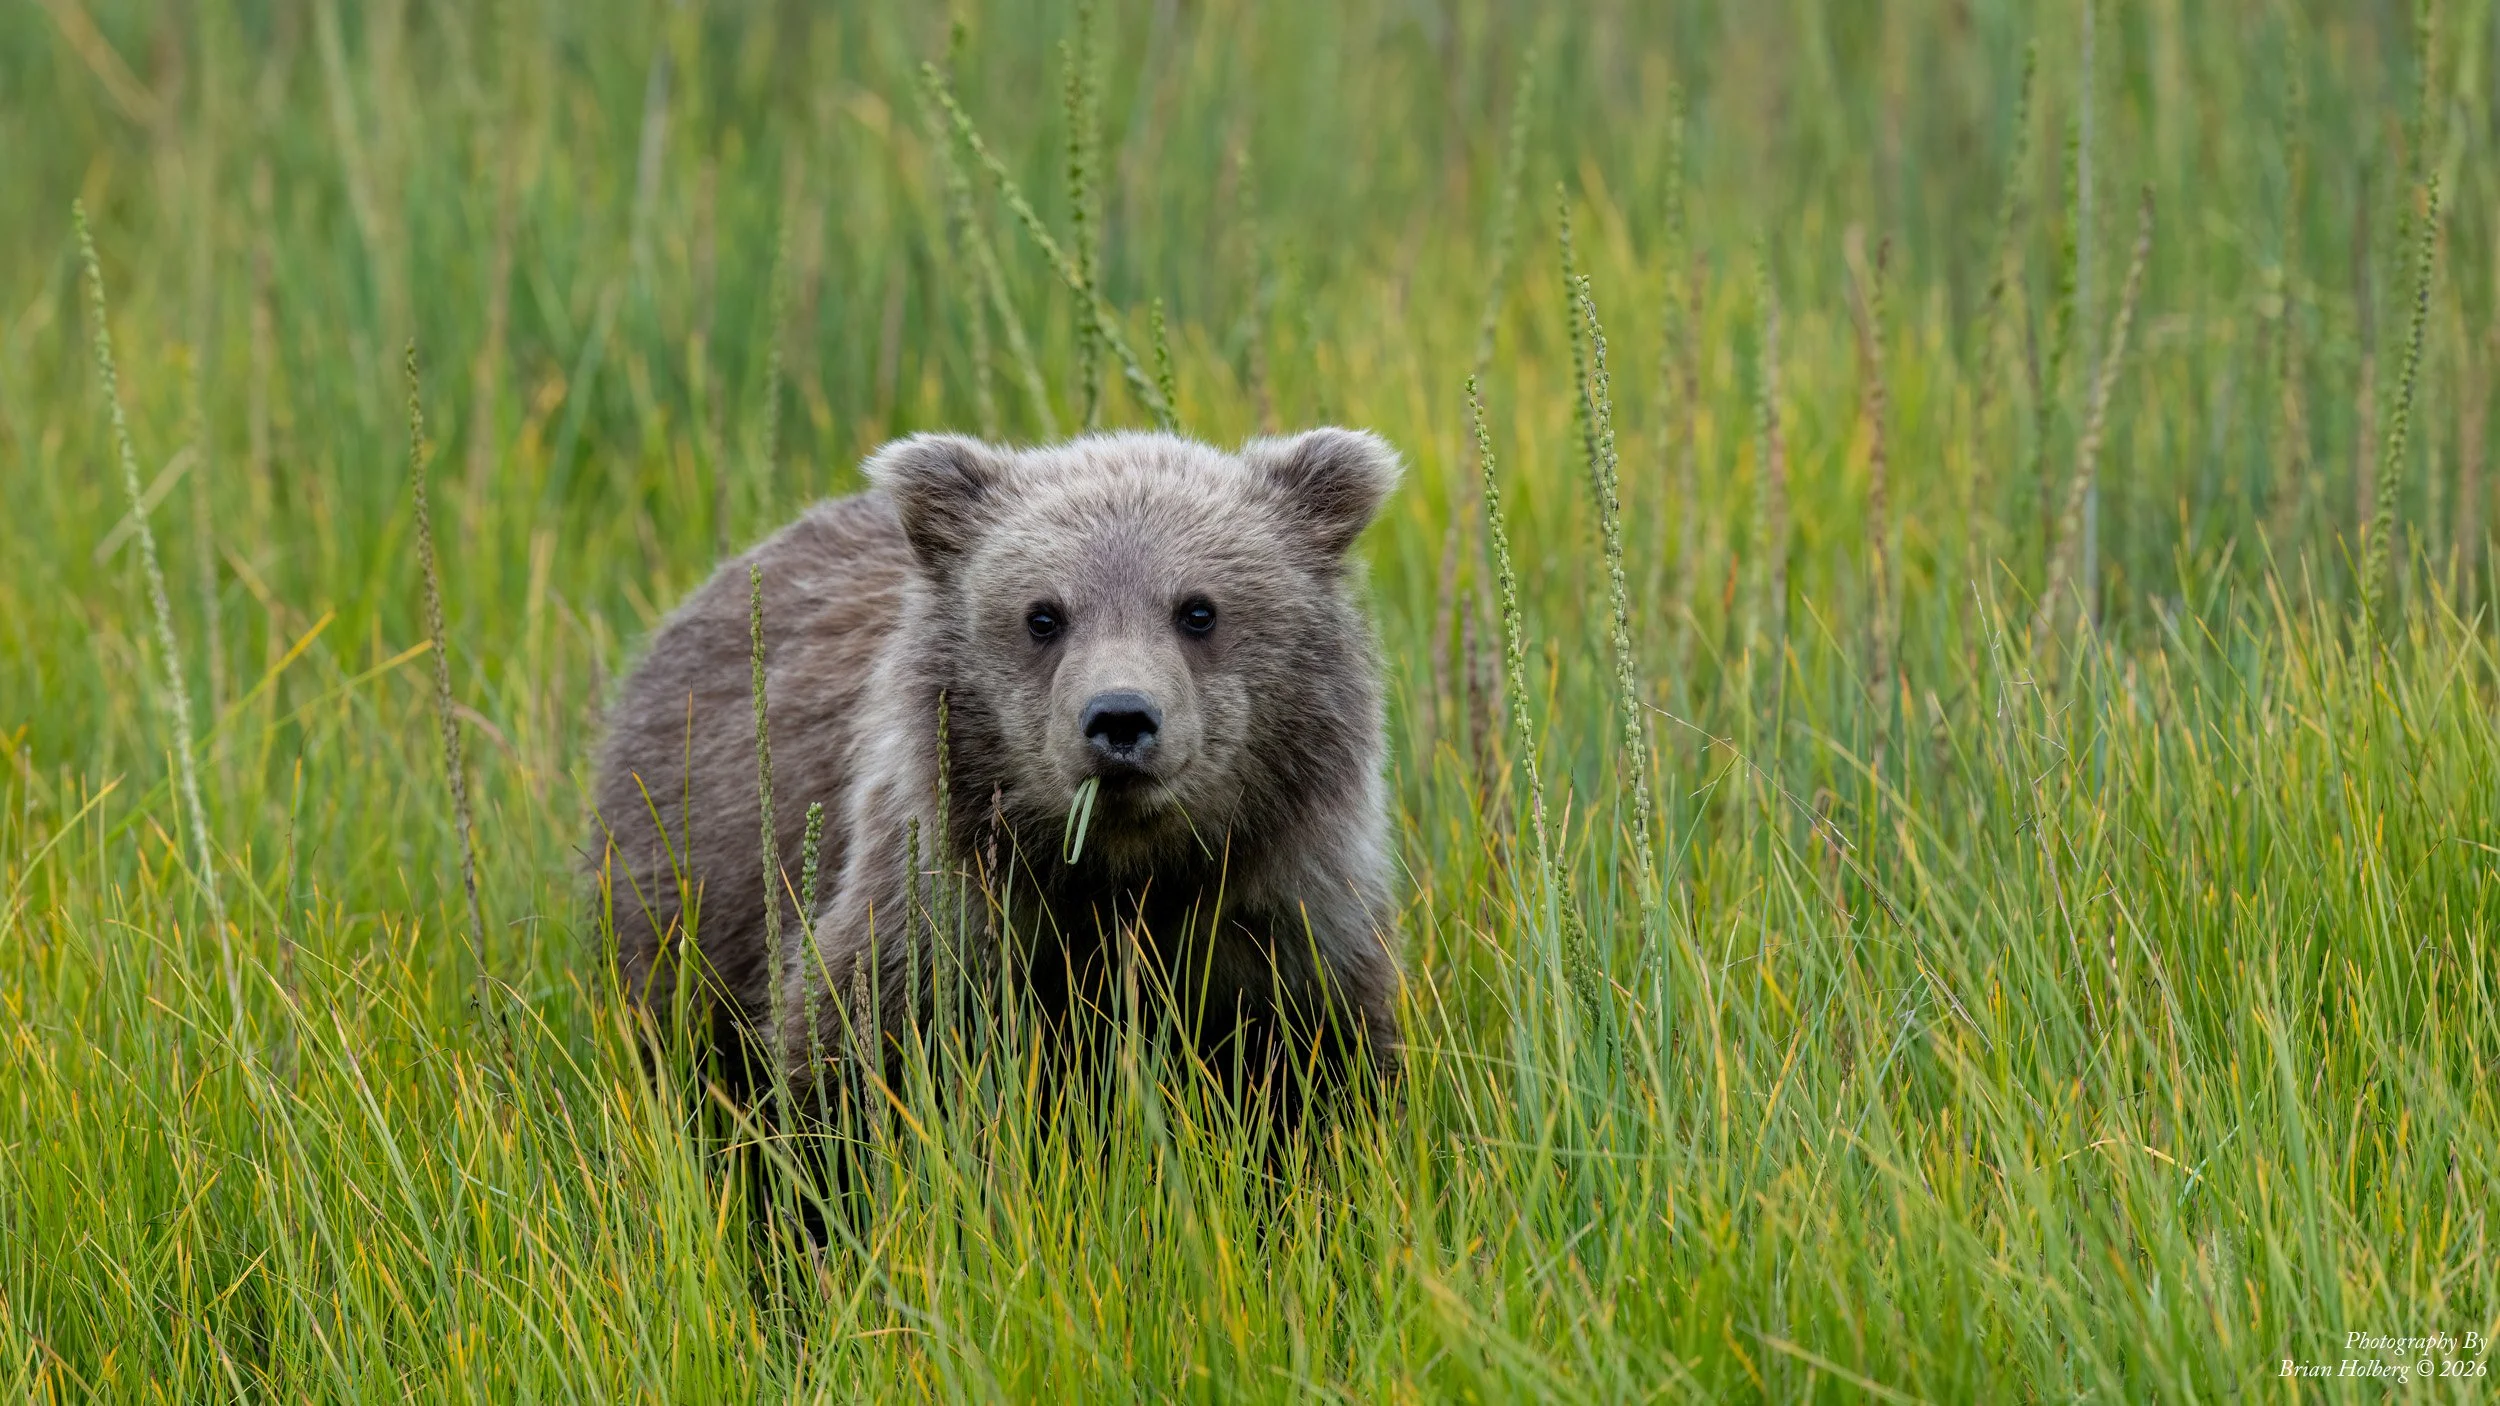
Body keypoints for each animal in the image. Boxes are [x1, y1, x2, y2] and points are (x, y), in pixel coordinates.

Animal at [589, 428, 1404, 1117]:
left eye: (1198, 610)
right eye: (1043, 615)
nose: (1120, 717)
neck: (1123, 874)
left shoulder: (1281, 920)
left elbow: (1322, 1076)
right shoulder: (944, 914)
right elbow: (849, 1065)